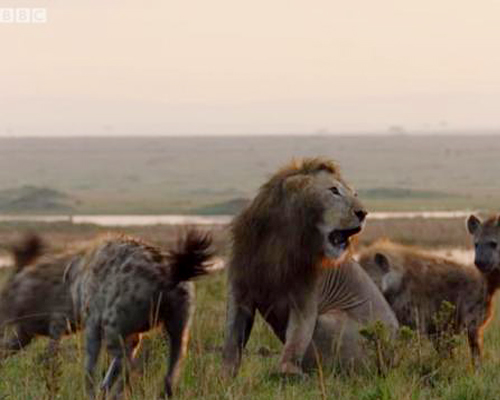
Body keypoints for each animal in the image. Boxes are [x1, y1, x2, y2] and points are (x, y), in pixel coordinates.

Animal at [223, 158, 398, 376]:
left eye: (355, 194)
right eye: (334, 190)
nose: (363, 213)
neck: (279, 242)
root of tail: (394, 357)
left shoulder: (305, 300)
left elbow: (296, 340)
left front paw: (288, 372)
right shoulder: (240, 292)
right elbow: (232, 341)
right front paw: (224, 377)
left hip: (330, 321)